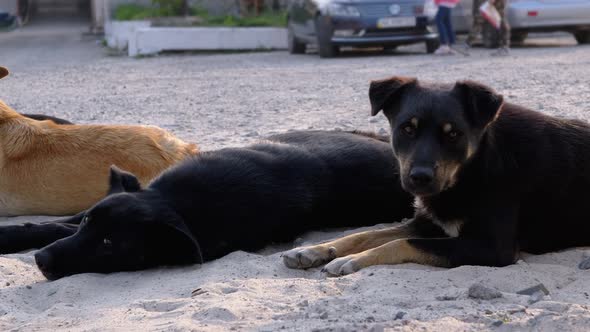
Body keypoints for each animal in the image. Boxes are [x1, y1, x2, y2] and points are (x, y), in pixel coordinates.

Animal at [0, 130, 416, 280]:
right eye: (90, 223)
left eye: (108, 246)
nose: (41, 261)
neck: (178, 201)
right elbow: (55, 225)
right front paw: (14, 235)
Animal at [282, 77, 590, 274]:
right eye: (407, 128)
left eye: (453, 134)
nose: (420, 177)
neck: (474, 170)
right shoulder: (426, 223)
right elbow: (365, 234)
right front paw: (316, 249)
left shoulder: (493, 248)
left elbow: (398, 242)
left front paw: (357, 259)